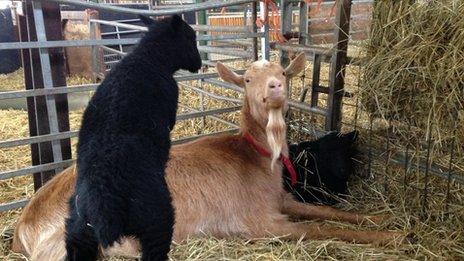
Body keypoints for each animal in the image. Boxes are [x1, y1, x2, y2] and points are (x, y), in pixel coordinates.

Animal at [10, 53, 402, 258]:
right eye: (246, 79)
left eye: (283, 73)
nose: (275, 90)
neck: (255, 159)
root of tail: (24, 223)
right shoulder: (260, 224)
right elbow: (319, 228)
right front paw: (388, 237)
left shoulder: (283, 201)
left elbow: (326, 211)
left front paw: (380, 220)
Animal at [65, 15, 201, 258]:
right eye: (190, 37)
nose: (200, 64)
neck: (148, 57)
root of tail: (104, 203)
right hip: (156, 220)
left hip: (78, 230)